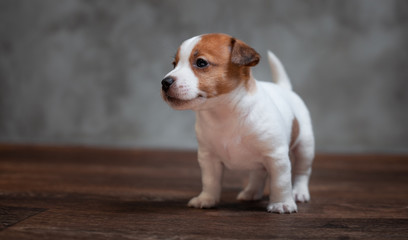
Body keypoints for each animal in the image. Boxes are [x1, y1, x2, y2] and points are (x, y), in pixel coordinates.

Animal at [161, 32, 314, 214]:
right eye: (174, 64)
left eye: (201, 63)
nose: (165, 82)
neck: (224, 113)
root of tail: (284, 88)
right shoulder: (208, 158)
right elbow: (210, 181)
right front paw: (207, 199)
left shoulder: (276, 157)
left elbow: (280, 182)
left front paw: (282, 203)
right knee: (258, 173)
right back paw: (251, 192)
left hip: (305, 146)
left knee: (302, 171)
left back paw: (299, 192)